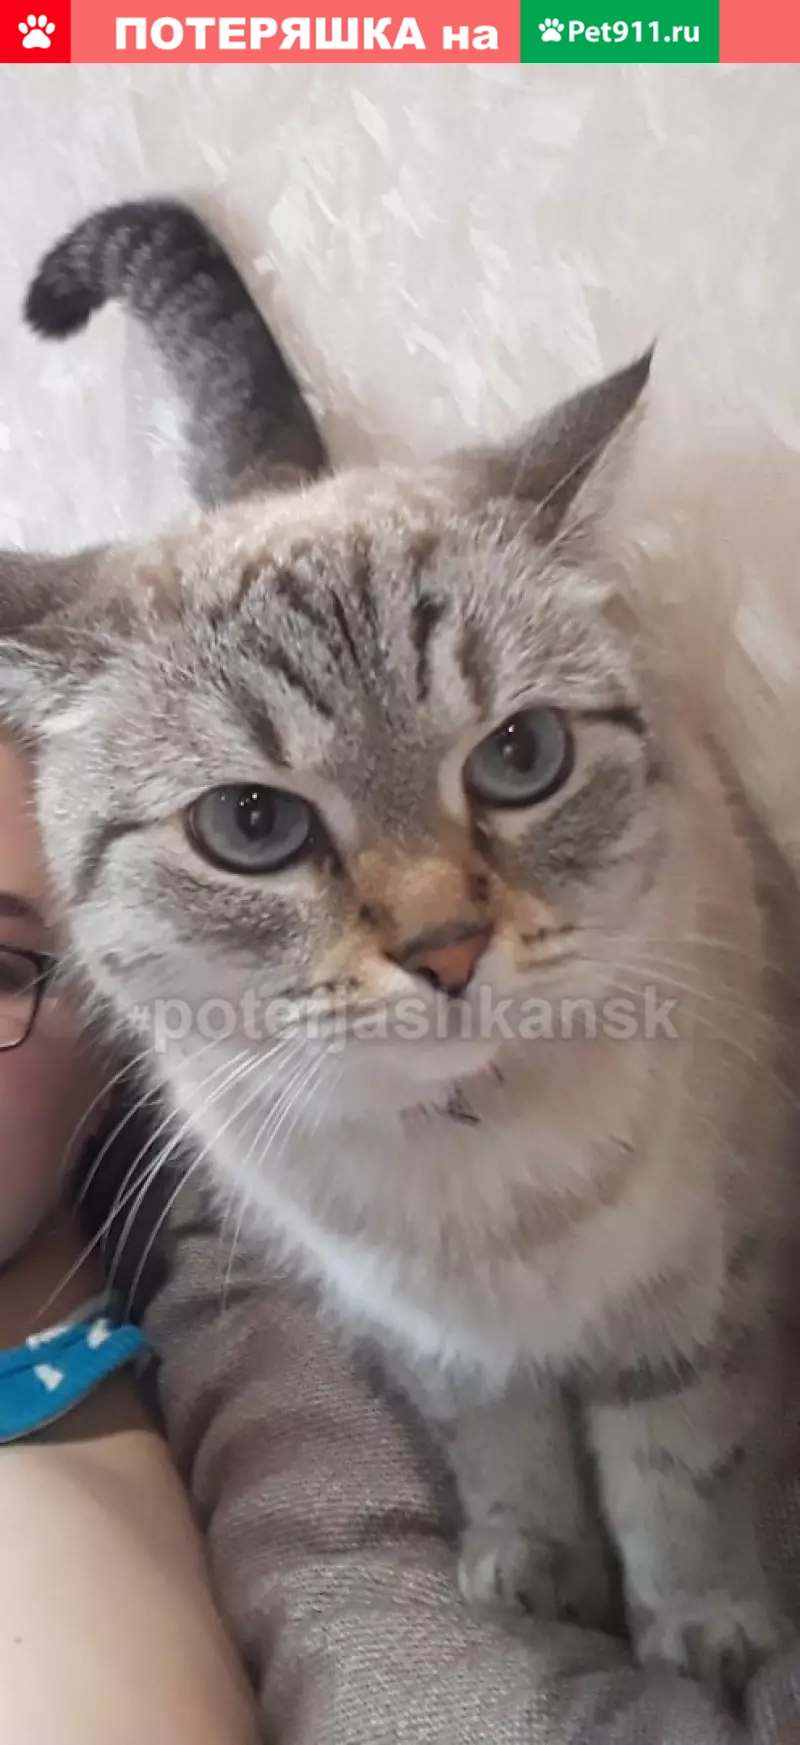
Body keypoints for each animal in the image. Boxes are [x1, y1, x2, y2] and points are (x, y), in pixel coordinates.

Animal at [0, 200, 794, 1709]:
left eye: (520, 757)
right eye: (253, 826)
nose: (446, 947)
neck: (476, 1176)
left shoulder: (698, 1294)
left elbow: (680, 1485)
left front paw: (706, 1636)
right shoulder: (432, 1337)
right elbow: (509, 1455)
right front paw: (535, 1575)